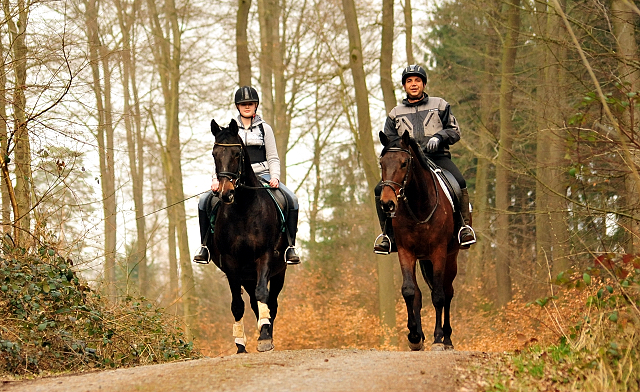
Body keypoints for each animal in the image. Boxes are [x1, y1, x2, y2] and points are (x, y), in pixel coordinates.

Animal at [208, 118, 288, 352]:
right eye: (215, 154)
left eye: (237, 153)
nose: (225, 193)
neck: (243, 208)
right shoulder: (231, 264)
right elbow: (237, 305)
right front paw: (240, 345)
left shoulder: (265, 256)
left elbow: (264, 296)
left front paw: (265, 338)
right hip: (247, 276)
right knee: (253, 302)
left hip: (279, 272)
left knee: (271, 301)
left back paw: (267, 332)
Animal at [378, 130, 458, 350]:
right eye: (382, 163)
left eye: (404, 163)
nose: (387, 203)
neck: (419, 205)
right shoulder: (407, 252)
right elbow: (409, 292)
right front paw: (414, 336)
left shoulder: (439, 252)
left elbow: (438, 296)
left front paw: (438, 338)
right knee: (420, 295)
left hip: (451, 256)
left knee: (447, 292)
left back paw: (447, 339)